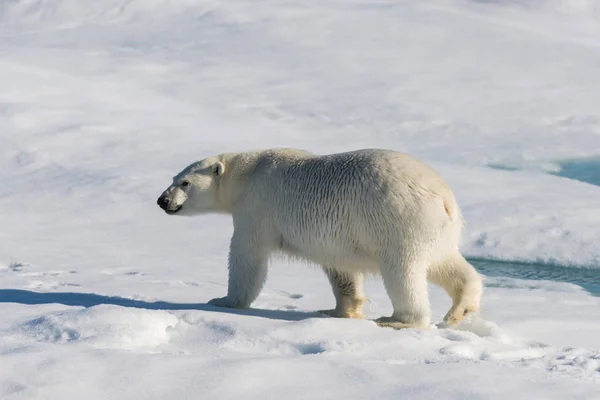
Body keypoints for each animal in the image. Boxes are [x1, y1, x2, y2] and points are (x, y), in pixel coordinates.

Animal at [158, 148, 482, 330]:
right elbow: (341, 269)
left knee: (403, 271)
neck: (246, 173)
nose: (163, 200)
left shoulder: (257, 206)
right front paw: (336, 310)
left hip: (399, 220)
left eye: (184, 182)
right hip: (436, 229)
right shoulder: (335, 237)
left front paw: (224, 301)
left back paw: (398, 320)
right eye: (173, 178)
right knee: (446, 263)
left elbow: (246, 256)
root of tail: (444, 197)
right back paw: (460, 310)